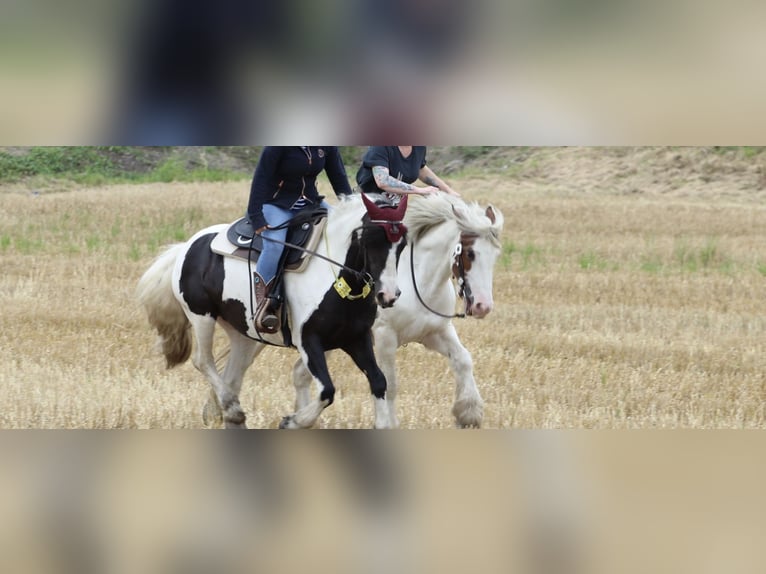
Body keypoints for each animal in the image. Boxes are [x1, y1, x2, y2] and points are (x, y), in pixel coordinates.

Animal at [136, 193, 409, 429]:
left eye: (403, 244)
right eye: (371, 240)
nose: (389, 295)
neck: (336, 279)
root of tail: (187, 246)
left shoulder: (356, 338)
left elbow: (379, 381)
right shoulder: (309, 341)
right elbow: (326, 391)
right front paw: (293, 421)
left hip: (243, 333)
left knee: (233, 376)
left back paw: (233, 416)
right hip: (201, 315)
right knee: (203, 361)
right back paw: (231, 407)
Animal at [291, 193, 504, 428]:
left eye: (496, 255)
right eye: (470, 253)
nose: (483, 306)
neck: (419, 281)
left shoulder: (435, 332)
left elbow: (463, 359)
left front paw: (468, 413)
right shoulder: (384, 338)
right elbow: (390, 384)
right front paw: (389, 423)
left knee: (300, 373)